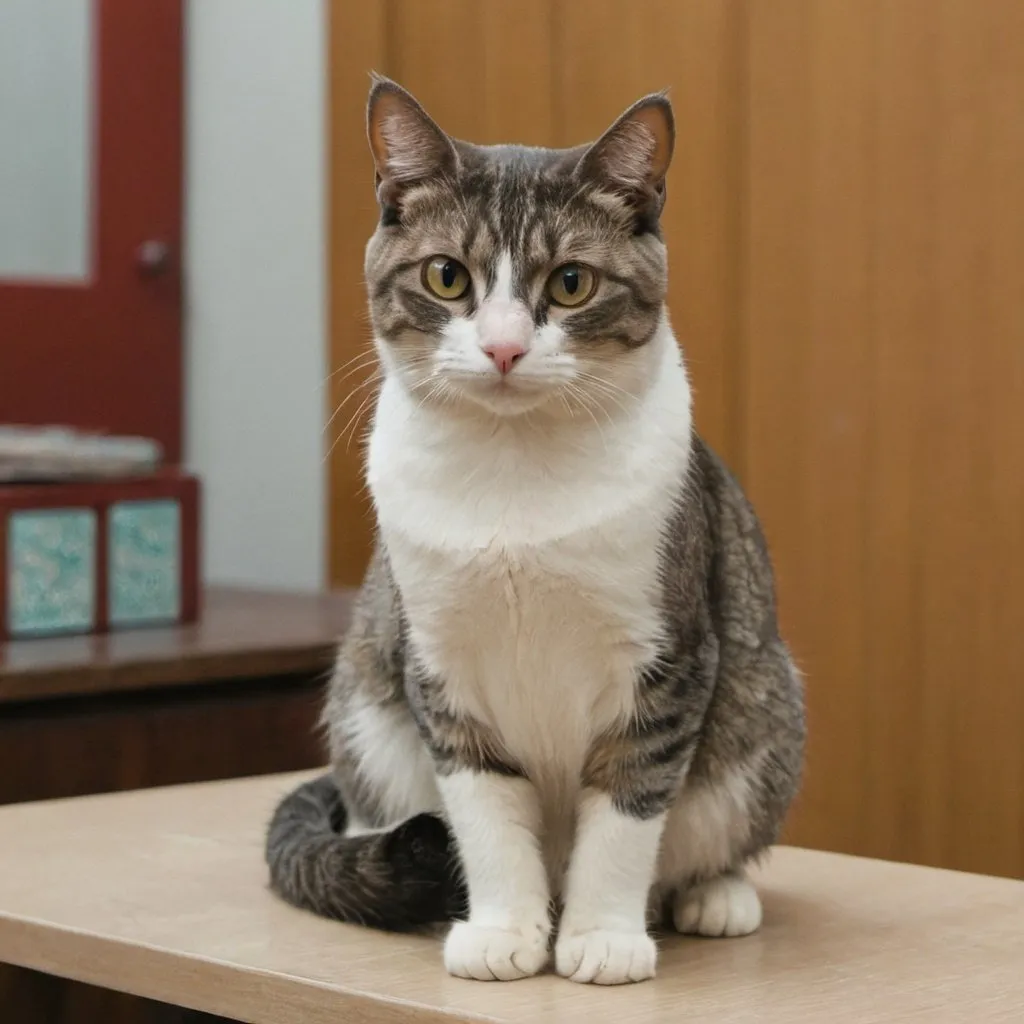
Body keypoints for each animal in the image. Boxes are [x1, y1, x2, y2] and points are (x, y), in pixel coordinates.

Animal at [266, 75, 806, 987]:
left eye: (572, 283)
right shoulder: (441, 665)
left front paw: (601, 937)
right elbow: (485, 811)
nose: (505, 348)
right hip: (367, 698)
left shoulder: (667, 660)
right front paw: (504, 932)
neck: (513, 477)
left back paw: (713, 894)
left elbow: (626, 809)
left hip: (764, 702)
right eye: (447, 277)